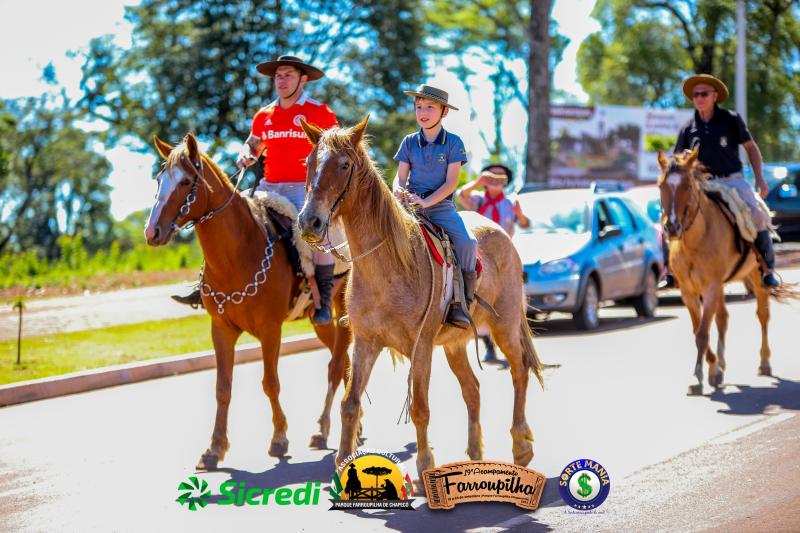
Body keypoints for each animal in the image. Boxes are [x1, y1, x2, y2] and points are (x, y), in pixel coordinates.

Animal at [144, 133, 351, 468]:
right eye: (160, 179)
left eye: (186, 181)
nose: (152, 232)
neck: (237, 252)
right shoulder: (221, 329)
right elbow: (222, 387)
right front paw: (214, 448)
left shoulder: (270, 330)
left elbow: (270, 382)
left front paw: (279, 438)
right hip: (319, 320)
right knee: (341, 360)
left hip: (345, 310)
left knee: (337, 364)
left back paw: (329, 429)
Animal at [297, 116, 544, 478]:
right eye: (309, 163)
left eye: (343, 165)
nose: (309, 221)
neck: (389, 266)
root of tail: (498, 230)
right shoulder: (365, 342)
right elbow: (350, 404)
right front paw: (342, 463)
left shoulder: (422, 347)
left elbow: (421, 408)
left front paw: (426, 464)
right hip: (455, 344)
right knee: (472, 389)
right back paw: (474, 453)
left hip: (506, 326)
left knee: (519, 371)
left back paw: (521, 444)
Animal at [657, 148, 797, 394]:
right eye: (661, 185)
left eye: (687, 186)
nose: (671, 227)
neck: (693, 243)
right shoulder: (689, 292)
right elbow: (699, 329)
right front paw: (712, 369)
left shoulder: (711, 287)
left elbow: (703, 332)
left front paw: (699, 376)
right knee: (722, 318)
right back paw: (721, 364)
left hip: (756, 278)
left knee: (762, 315)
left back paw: (764, 362)